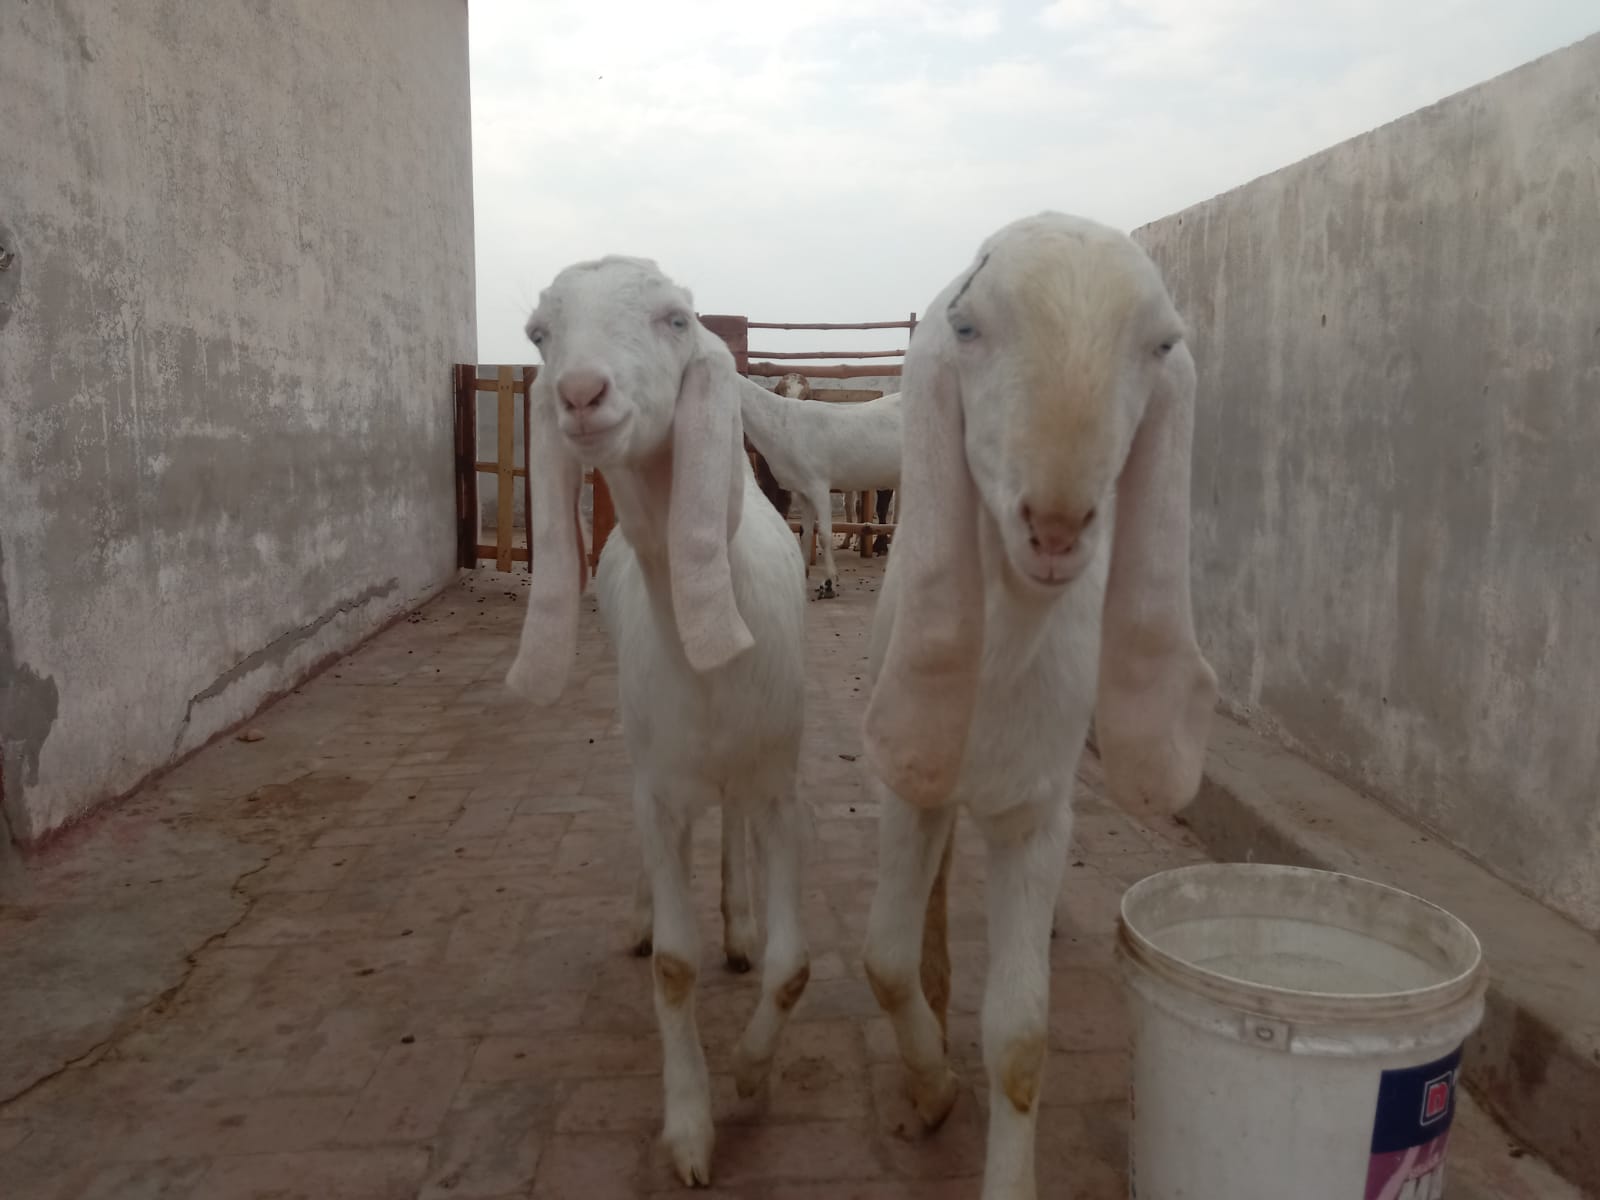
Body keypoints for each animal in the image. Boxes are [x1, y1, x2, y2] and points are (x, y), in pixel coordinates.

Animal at [504, 255, 812, 1187]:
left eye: (676, 319)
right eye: (539, 333)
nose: (580, 394)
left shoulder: (780, 783)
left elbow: (792, 967)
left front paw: (751, 1073)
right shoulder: (661, 786)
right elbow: (676, 966)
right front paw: (690, 1130)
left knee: (733, 830)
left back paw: (739, 925)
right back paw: (647, 918)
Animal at [738, 374, 903, 598]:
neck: (782, 423)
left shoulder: (819, 486)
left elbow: (825, 535)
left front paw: (829, 583)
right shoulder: (803, 491)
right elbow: (805, 532)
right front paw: (804, 573)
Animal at [857, 213, 1217, 1199]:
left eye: (1161, 344)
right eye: (967, 327)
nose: (1055, 528)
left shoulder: (1033, 810)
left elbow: (1019, 1040)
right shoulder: (909, 772)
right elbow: (883, 957)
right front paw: (932, 1089)